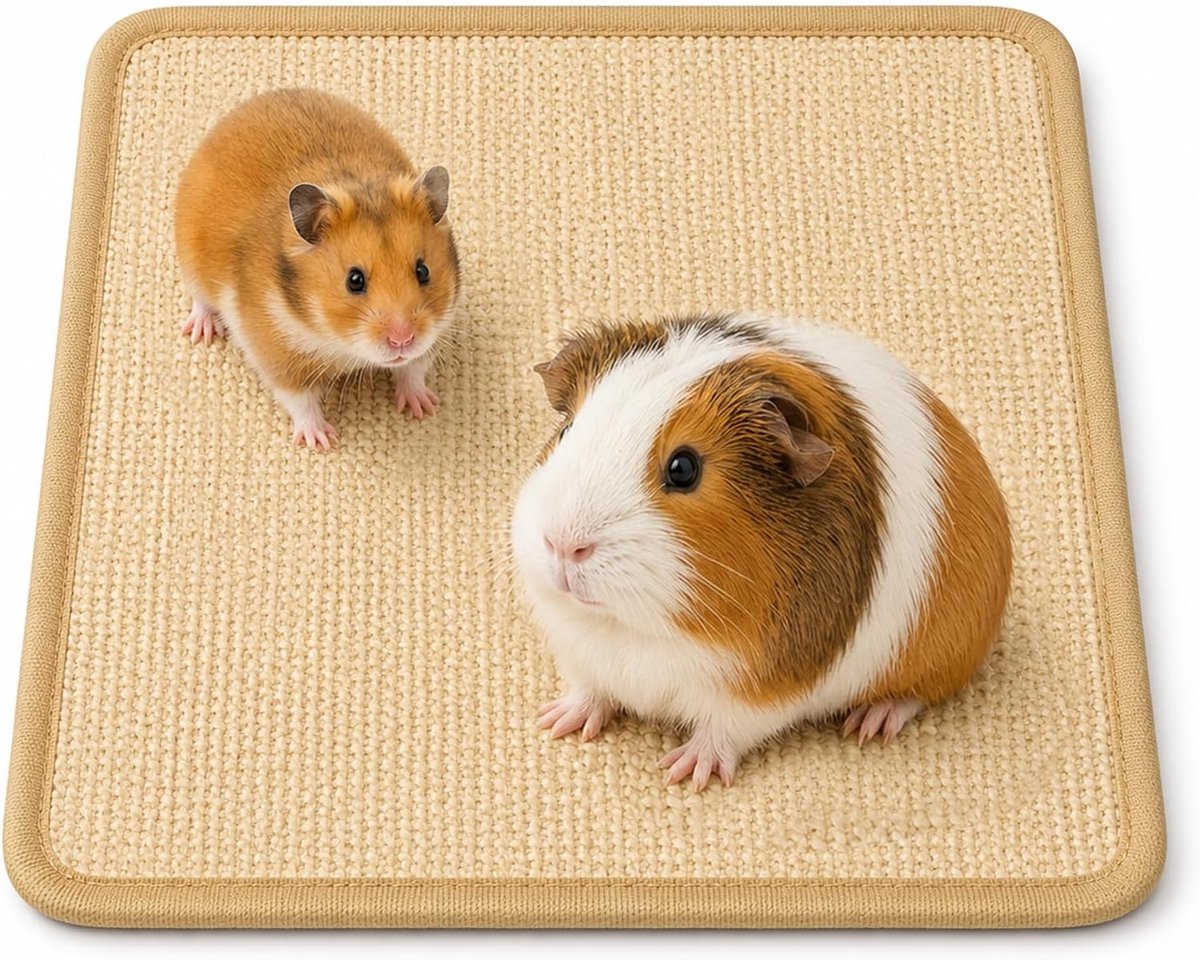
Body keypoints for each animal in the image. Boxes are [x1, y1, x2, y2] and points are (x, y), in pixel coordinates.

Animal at [175, 88, 461, 448]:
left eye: (423, 271)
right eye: (354, 280)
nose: (402, 340)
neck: (337, 341)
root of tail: (248, 106)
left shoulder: (436, 329)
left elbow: (413, 370)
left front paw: (424, 407)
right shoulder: (275, 351)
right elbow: (300, 400)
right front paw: (321, 442)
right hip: (189, 258)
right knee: (199, 298)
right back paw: (202, 331)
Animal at [512, 313, 1011, 791]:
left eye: (683, 468)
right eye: (567, 432)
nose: (563, 544)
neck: (631, 629)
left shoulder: (759, 692)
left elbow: (722, 731)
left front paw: (687, 772)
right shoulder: (582, 656)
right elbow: (589, 691)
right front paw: (557, 722)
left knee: (915, 694)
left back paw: (871, 722)